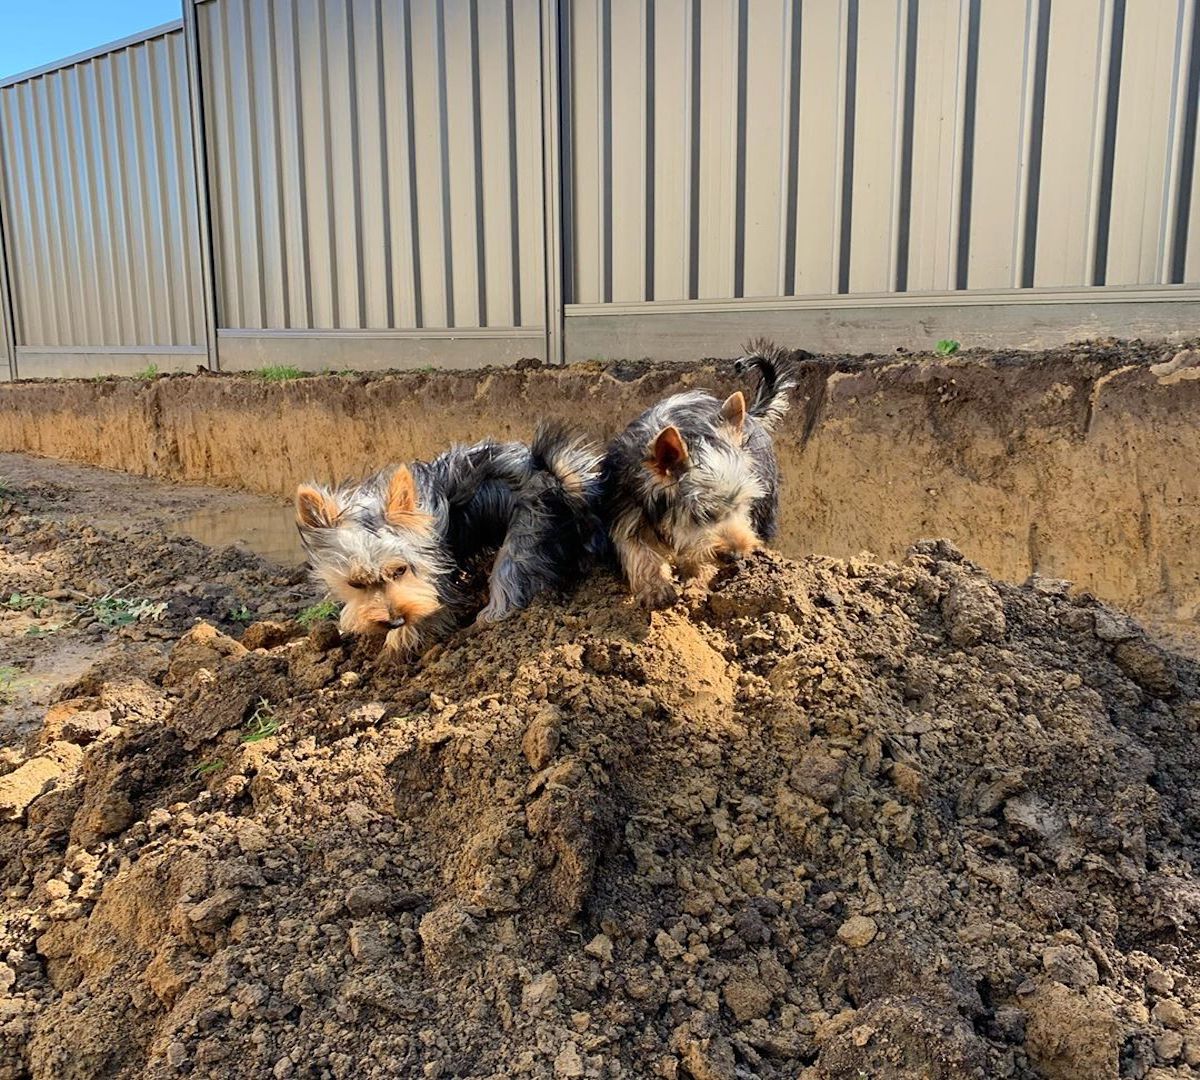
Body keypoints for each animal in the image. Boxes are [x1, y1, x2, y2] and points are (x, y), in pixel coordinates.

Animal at [296, 424, 604, 652]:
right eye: (356, 583)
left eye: (400, 570)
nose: (394, 621)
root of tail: (547, 471)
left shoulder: (433, 574)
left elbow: (428, 608)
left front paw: (396, 645)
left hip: (527, 530)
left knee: (509, 579)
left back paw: (486, 620)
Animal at [600, 338, 796, 607]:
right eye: (703, 514)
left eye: (742, 505)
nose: (736, 555)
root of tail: (751, 415)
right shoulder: (626, 505)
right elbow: (636, 548)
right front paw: (656, 589)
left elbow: (697, 555)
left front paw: (697, 585)